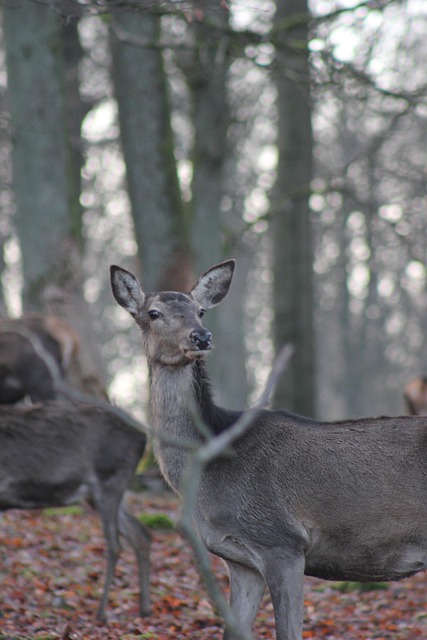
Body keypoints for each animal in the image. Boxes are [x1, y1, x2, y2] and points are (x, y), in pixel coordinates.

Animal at [0, 400, 151, 620]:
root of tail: (143, 435)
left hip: (109, 478)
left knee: (115, 545)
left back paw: (101, 612)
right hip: (98, 494)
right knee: (140, 533)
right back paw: (144, 608)